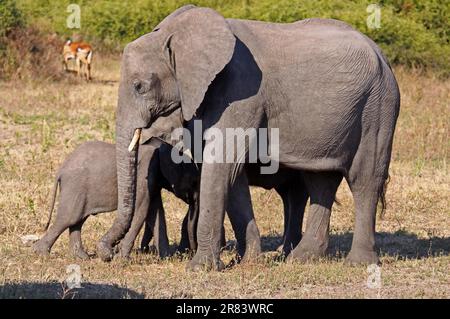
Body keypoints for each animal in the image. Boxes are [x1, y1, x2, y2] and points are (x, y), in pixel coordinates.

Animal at [96, 5, 400, 272]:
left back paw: (358, 263)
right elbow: (232, 173)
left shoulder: (241, 91)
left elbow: (222, 165)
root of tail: (382, 54)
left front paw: (199, 269)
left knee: (364, 179)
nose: (106, 254)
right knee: (321, 181)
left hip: (378, 106)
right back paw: (301, 259)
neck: (176, 34)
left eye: (140, 86)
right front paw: (248, 261)